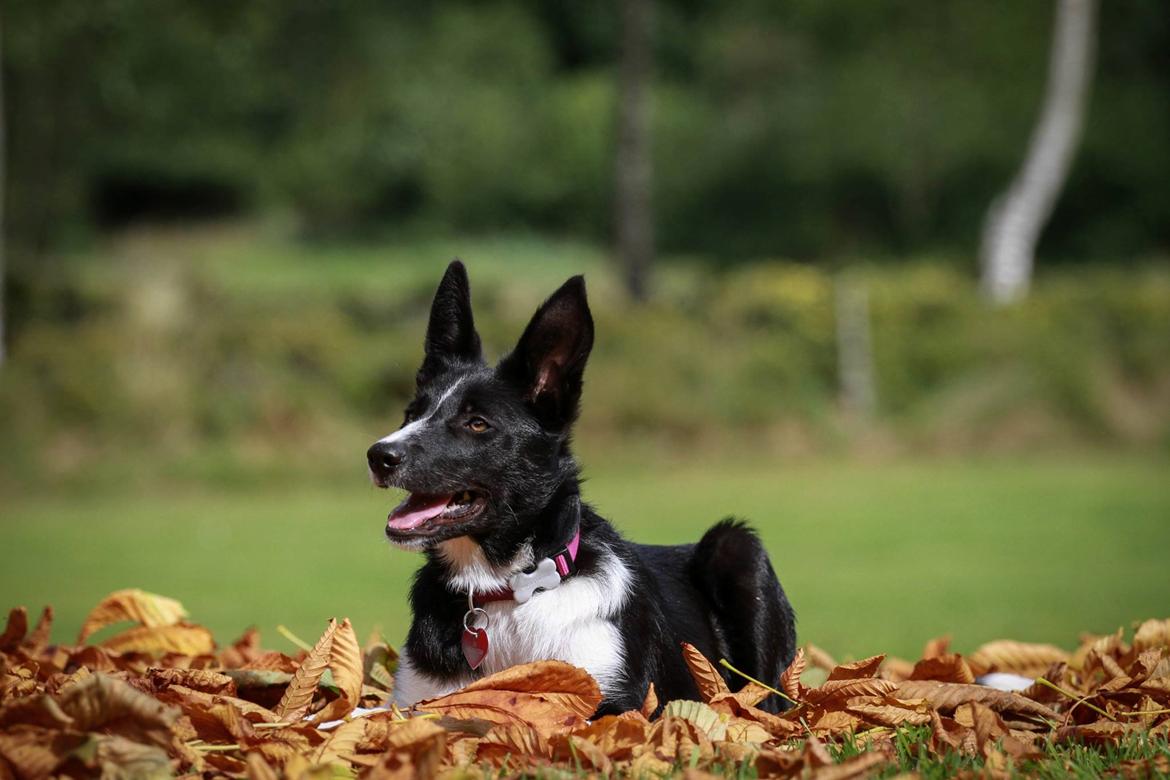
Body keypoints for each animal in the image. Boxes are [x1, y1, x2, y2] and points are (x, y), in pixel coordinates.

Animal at [369, 261, 800, 715]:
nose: (378, 455)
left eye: (477, 423)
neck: (504, 590)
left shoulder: (613, 702)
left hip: (737, 548)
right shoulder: (413, 701)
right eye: (411, 413)